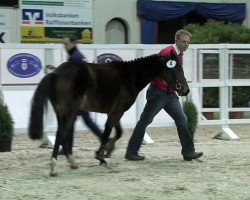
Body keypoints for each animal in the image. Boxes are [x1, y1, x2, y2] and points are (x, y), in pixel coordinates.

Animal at [27, 50, 189, 176]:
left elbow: (117, 132)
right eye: (178, 68)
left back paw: (72, 162)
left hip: (61, 112)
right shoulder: (116, 112)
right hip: (69, 111)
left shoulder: (114, 112)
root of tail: (55, 73)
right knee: (61, 133)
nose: (185, 90)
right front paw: (101, 156)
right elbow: (107, 133)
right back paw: (54, 167)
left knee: (64, 133)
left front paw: (105, 152)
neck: (128, 76)